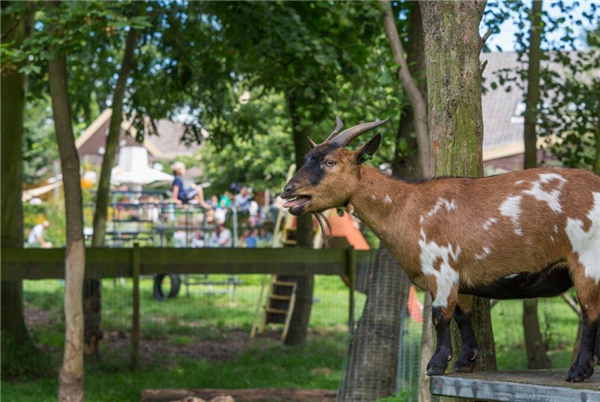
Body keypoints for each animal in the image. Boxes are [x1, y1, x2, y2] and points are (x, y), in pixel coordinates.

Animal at [284, 118, 600, 382]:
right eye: (307, 159)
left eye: (330, 161)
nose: (288, 190)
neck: (408, 207)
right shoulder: (460, 277)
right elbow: (462, 314)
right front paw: (465, 361)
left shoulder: (441, 269)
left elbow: (440, 315)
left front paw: (436, 364)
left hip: (587, 260)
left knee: (590, 311)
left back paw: (579, 371)